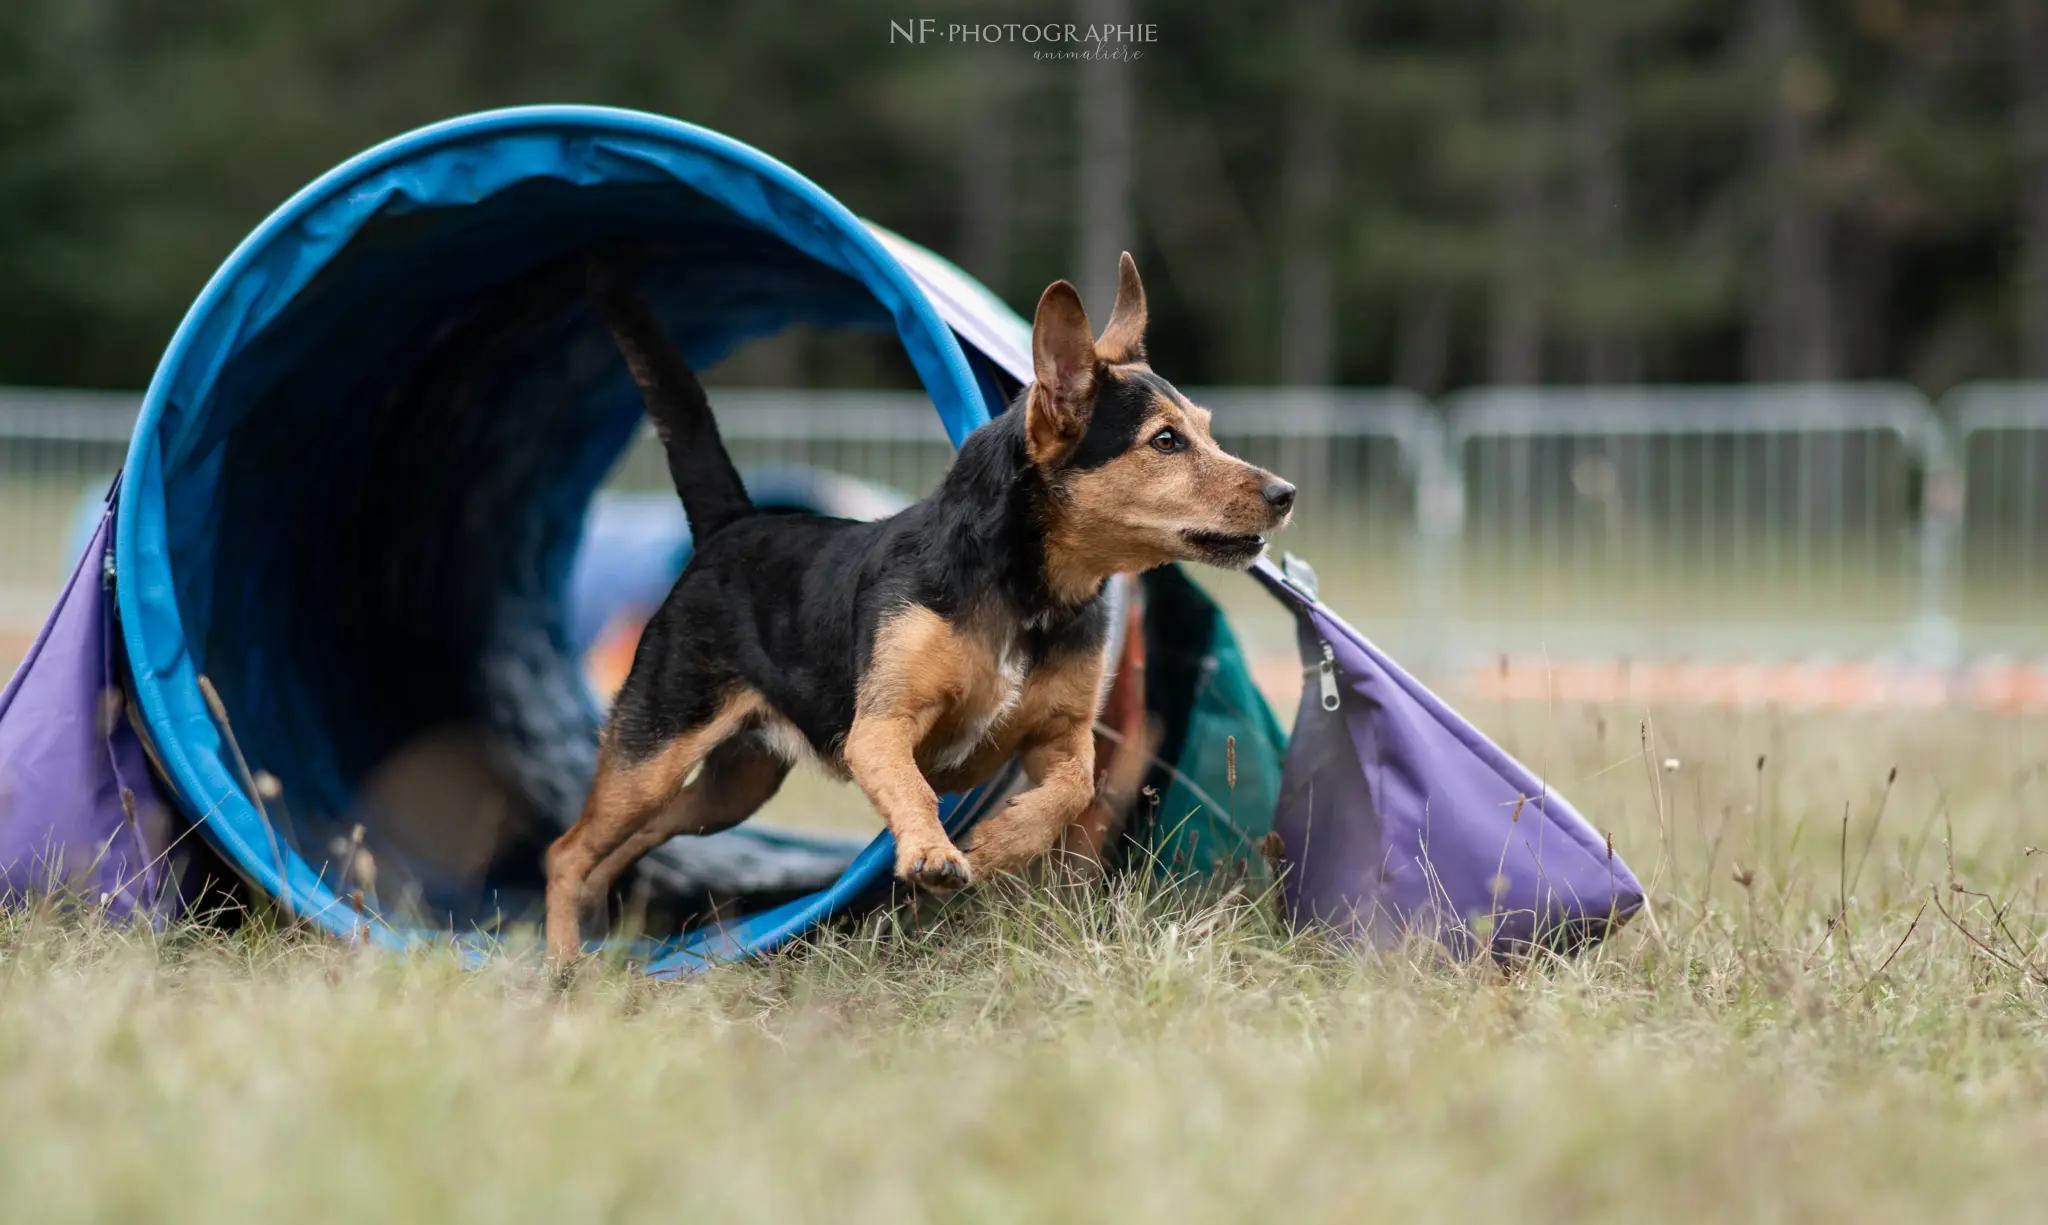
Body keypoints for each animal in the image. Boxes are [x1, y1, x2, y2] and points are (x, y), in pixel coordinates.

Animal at [548, 257, 1294, 970]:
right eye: (1165, 441)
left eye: (1207, 430)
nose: (1285, 493)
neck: (1028, 594)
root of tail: (732, 524)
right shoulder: (882, 727)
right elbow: (915, 785)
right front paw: (935, 852)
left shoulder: (1063, 733)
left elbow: (1074, 787)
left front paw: (996, 843)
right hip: (656, 746)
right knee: (567, 848)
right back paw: (563, 963)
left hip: (730, 790)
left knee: (626, 842)